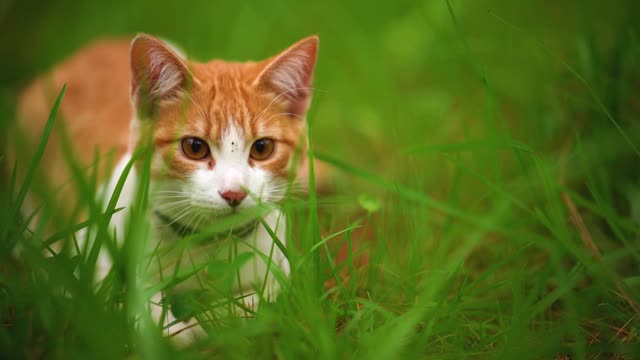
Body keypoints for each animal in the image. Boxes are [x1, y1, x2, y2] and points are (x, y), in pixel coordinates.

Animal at [12, 33, 318, 340]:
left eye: (262, 148)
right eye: (194, 147)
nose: (234, 193)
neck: (206, 245)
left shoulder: (280, 266)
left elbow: (262, 302)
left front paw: (217, 317)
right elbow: (116, 302)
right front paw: (175, 329)